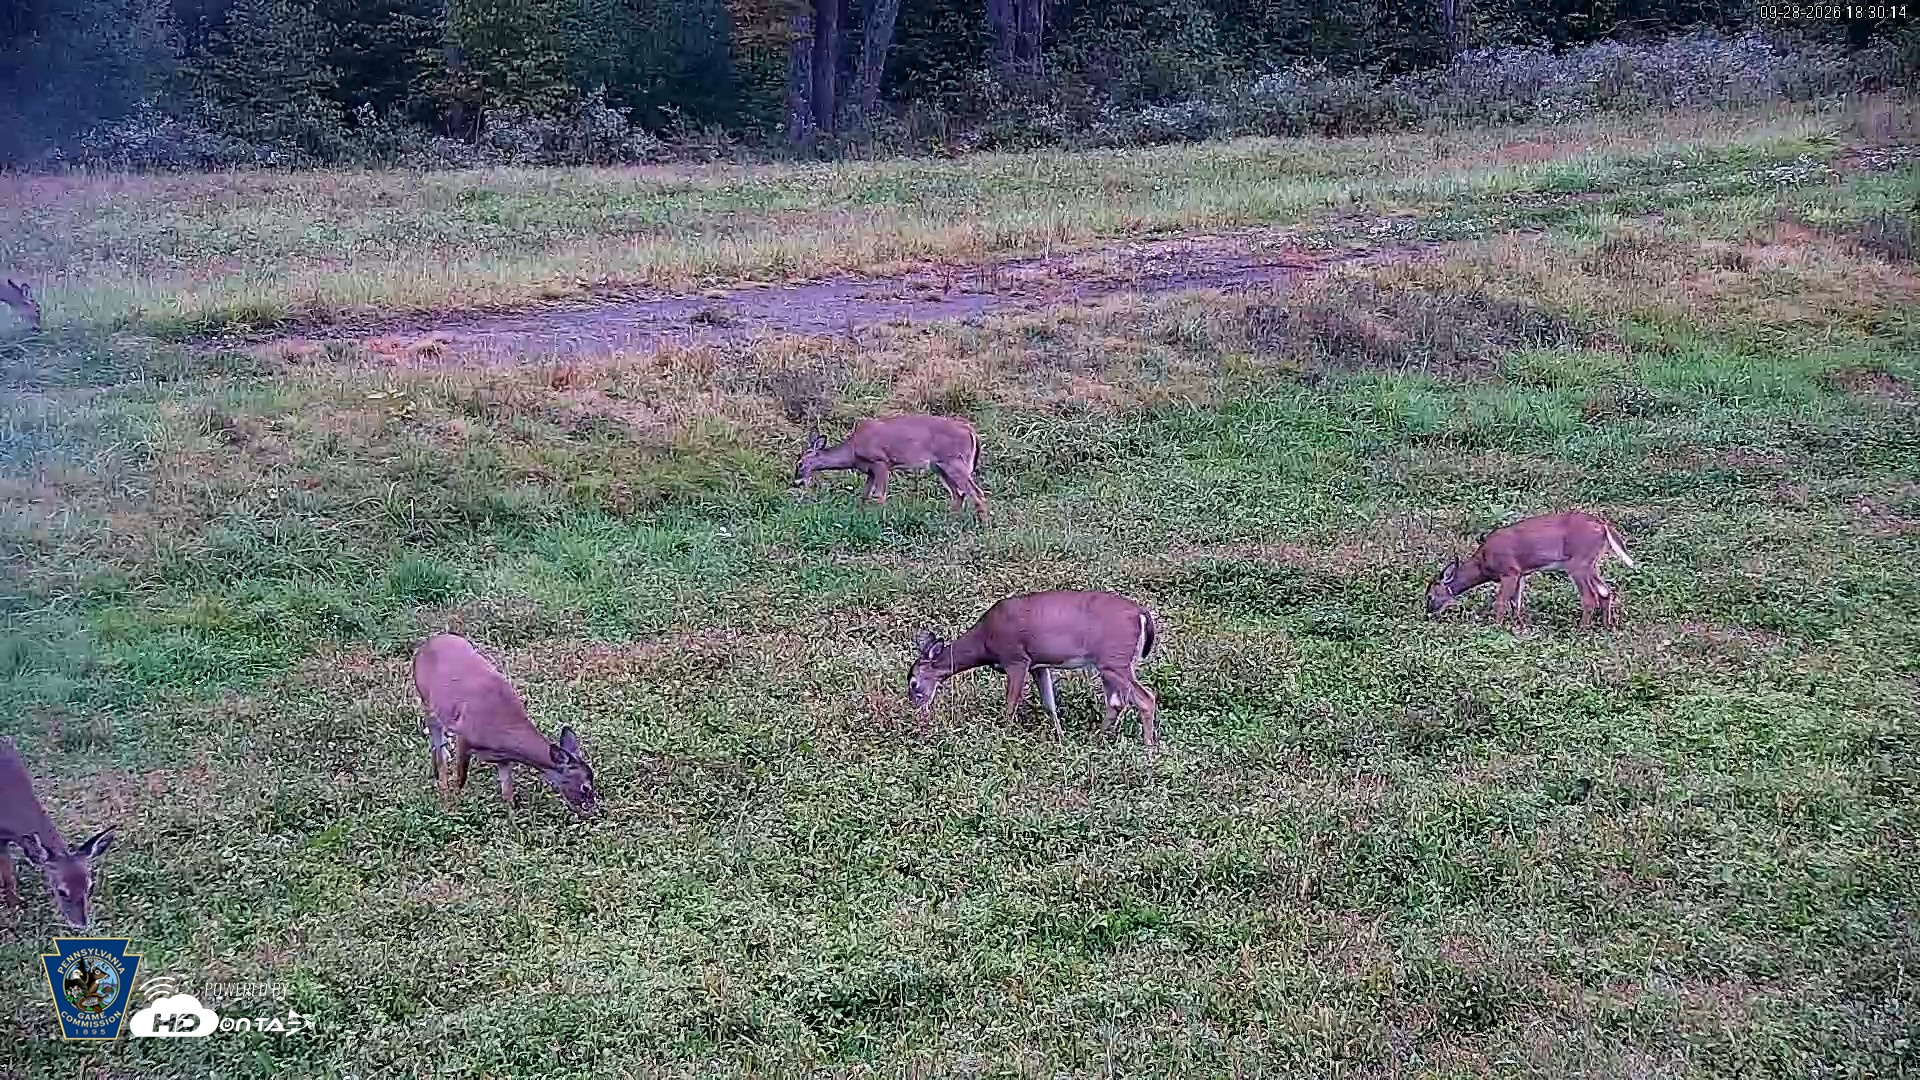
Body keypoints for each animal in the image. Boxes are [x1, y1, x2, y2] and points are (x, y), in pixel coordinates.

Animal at [412, 634, 600, 817]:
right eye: (585, 787)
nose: (593, 810)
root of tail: (425, 644)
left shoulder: (503, 759)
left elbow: (507, 794)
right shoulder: (464, 738)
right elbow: (461, 779)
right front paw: (454, 807)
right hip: (427, 703)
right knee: (438, 748)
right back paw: (442, 789)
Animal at [792, 415, 989, 520]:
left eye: (799, 463)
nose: (796, 482)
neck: (853, 450)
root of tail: (971, 431)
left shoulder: (881, 462)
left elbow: (879, 496)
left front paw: (879, 520)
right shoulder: (869, 470)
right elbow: (864, 495)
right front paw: (859, 515)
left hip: (955, 461)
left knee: (976, 492)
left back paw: (983, 525)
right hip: (940, 466)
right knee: (959, 494)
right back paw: (951, 520)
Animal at [907, 590, 1161, 746]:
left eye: (913, 682)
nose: (916, 710)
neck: (985, 642)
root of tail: (1142, 614)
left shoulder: (1016, 659)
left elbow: (1011, 704)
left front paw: (1004, 735)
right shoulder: (1038, 665)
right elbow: (1049, 704)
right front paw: (1061, 738)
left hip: (1114, 660)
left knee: (1145, 698)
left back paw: (1148, 749)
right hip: (1111, 664)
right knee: (1117, 702)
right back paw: (1096, 740)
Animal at [1426, 510, 1636, 630]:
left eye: (1429, 596)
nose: (1428, 612)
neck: (1483, 564)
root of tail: (1603, 525)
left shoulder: (1509, 570)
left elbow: (1501, 601)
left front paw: (1495, 626)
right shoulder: (1520, 574)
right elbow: (1515, 602)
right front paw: (1519, 625)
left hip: (1579, 562)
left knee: (1590, 597)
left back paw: (1581, 630)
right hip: (1591, 563)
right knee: (1606, 592)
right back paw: (1607, 627)